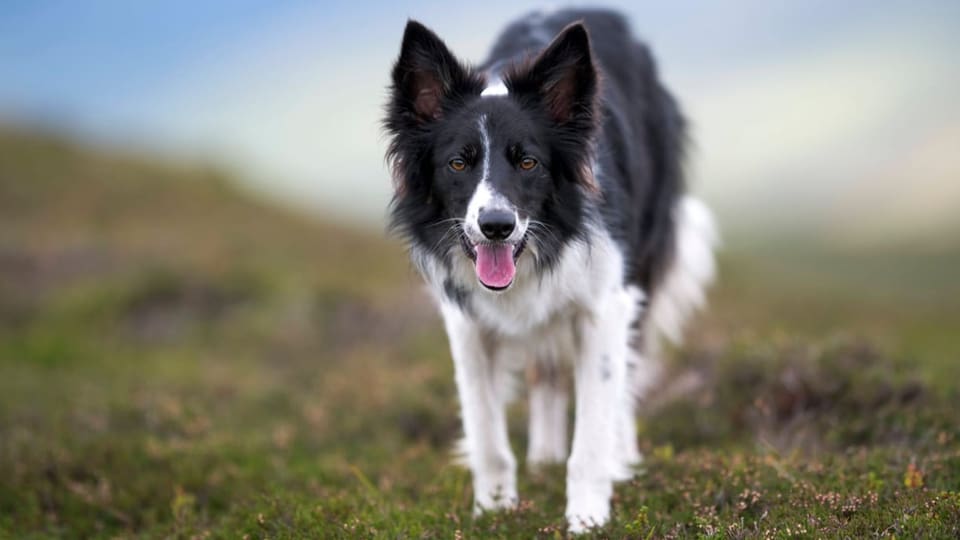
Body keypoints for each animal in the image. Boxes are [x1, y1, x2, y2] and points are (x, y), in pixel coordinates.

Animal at [382, 7, 712, 532]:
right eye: (458, 163)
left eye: (528, 162)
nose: (497, 226)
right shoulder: (468, 324)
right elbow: (486, 433)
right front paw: (494, 511)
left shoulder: (604, 305)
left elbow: (593, 432)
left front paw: (587, 519)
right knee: (547, 371)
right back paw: (544, 457)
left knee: (626, 367)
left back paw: (623, 452)